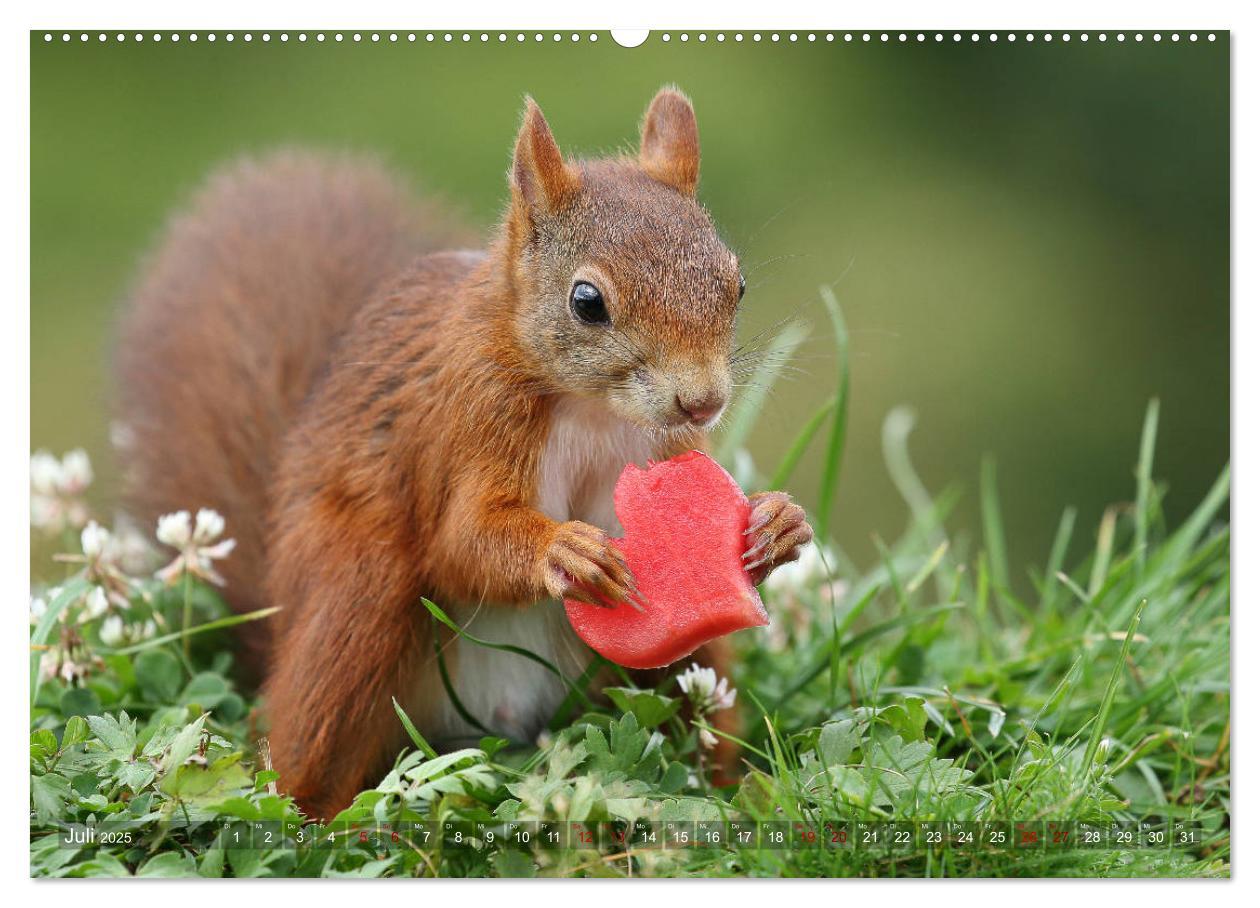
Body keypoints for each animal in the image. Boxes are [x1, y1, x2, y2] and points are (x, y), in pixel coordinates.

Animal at [115, 88, 806, 816]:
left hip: (688, 670)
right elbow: (463, 541)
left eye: (736, 283)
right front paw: (563, 551)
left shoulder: (661, 447)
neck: (591, 408)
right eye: (587, 301)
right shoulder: (469, 423)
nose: (702, 402)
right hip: (357, 598)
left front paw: (775, 523)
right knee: (303, 752)